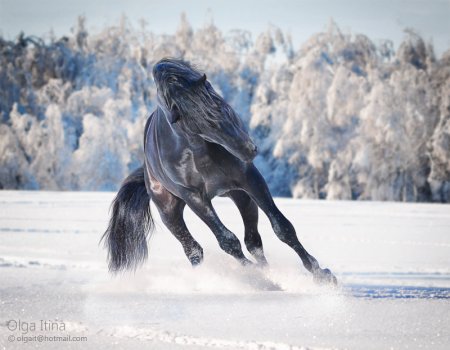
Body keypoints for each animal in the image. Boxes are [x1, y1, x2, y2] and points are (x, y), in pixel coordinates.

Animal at [103, 58, 336, 284]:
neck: (196, 151)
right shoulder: (195, 198)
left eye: (220, 104)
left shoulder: (250, 179)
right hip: (170, 213)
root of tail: (147, 173)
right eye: (198, 126)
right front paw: (260, 278)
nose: (249, 150)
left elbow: (282, 228)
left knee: (253, 241)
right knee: (194, 250)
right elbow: (227, 241)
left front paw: (322, 275)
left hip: (241, 196)